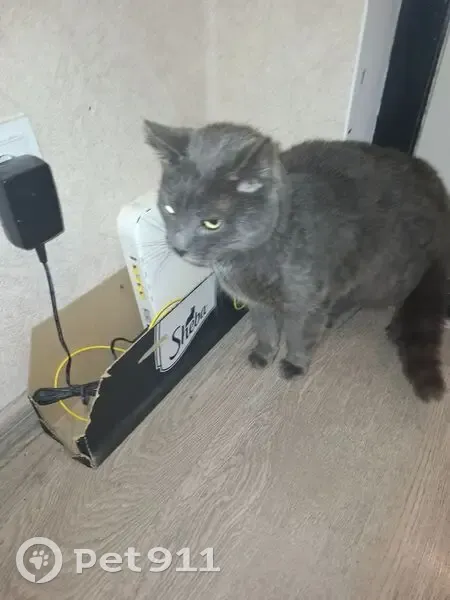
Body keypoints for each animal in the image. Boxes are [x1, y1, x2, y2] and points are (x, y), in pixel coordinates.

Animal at [143, 120, 450, 402]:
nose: (178, 246)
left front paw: (294, 363)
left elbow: (299, 335)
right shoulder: (256, 303)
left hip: (383, 274)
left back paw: (385, 323)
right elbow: (265, 329)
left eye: (212, 222)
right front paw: (264, 354)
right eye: (169, 208)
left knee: (391, 295)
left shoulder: (307, 301)